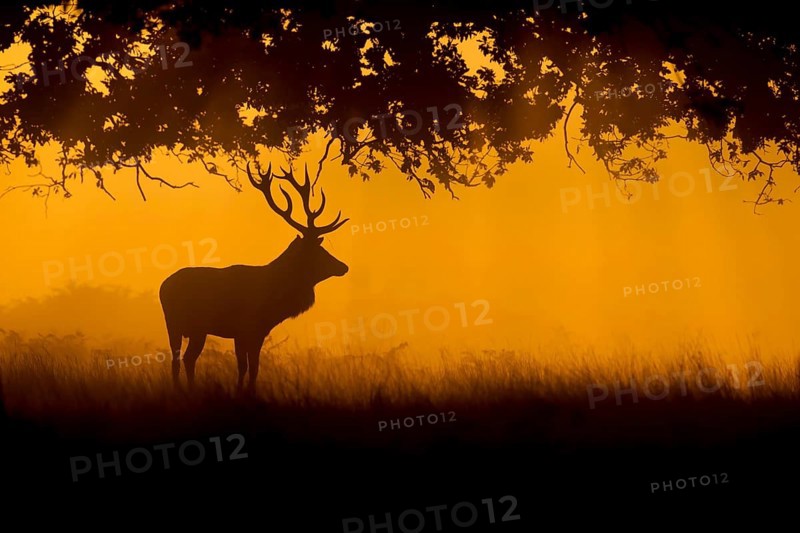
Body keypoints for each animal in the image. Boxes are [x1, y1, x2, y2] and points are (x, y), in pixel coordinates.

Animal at [159, 162, 349, 390]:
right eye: (318, 251)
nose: (343, 266)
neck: (274, 299)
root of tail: (163, 287)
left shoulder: (252, 332)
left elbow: (250, 367)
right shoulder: (248, 328)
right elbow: (248, 367)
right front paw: (244, 391)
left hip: (183, 328)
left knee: (181, 359)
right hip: (186, 325)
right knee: (183, 359)